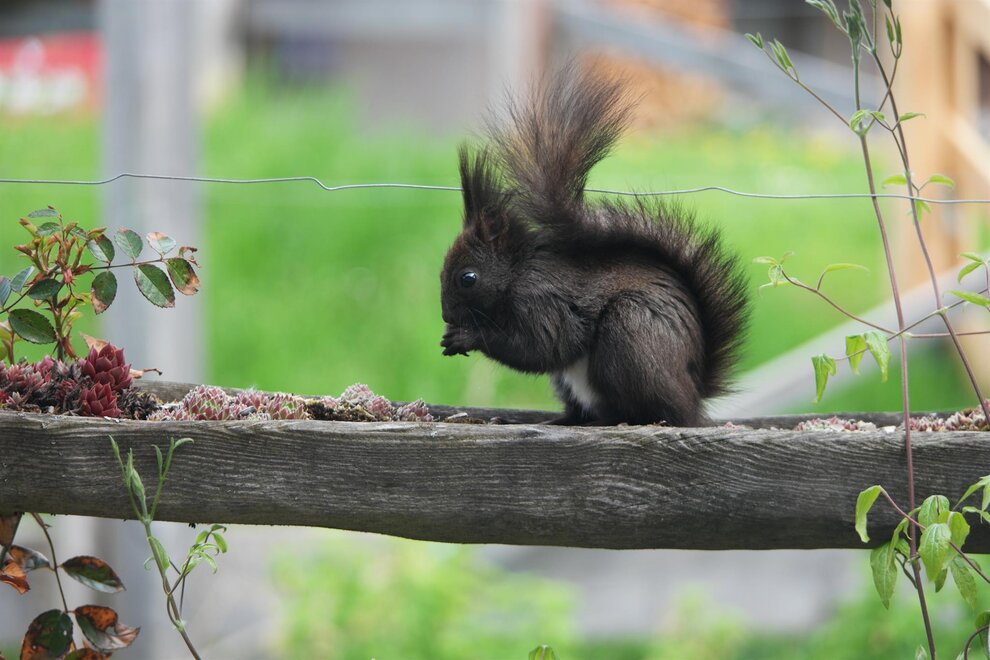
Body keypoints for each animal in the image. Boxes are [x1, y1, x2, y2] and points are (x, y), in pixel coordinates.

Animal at [439, 65, 748, 426]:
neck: (517, 272)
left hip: (630, 333)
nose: (446, 314)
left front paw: (467, 336)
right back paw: (562, 420)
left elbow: (543, 347)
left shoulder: (543, 302)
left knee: (649, 410)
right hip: (571, 381)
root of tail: (694, 395)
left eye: (467, 278)